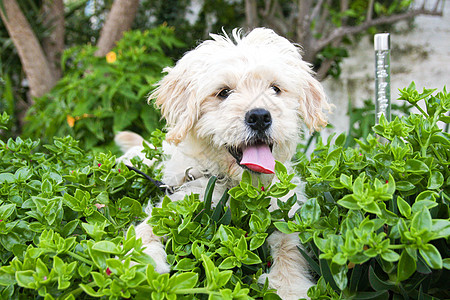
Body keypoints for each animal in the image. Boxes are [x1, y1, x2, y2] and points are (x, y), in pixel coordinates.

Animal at [114, 28, 328, 300]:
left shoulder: (286, 208)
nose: (260, 116)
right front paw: (139, 259)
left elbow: (290, 245)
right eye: (224, 92)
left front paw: (289, 287)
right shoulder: (184, 196)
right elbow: (147, 227)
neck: (239, 184)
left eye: (275, 88)